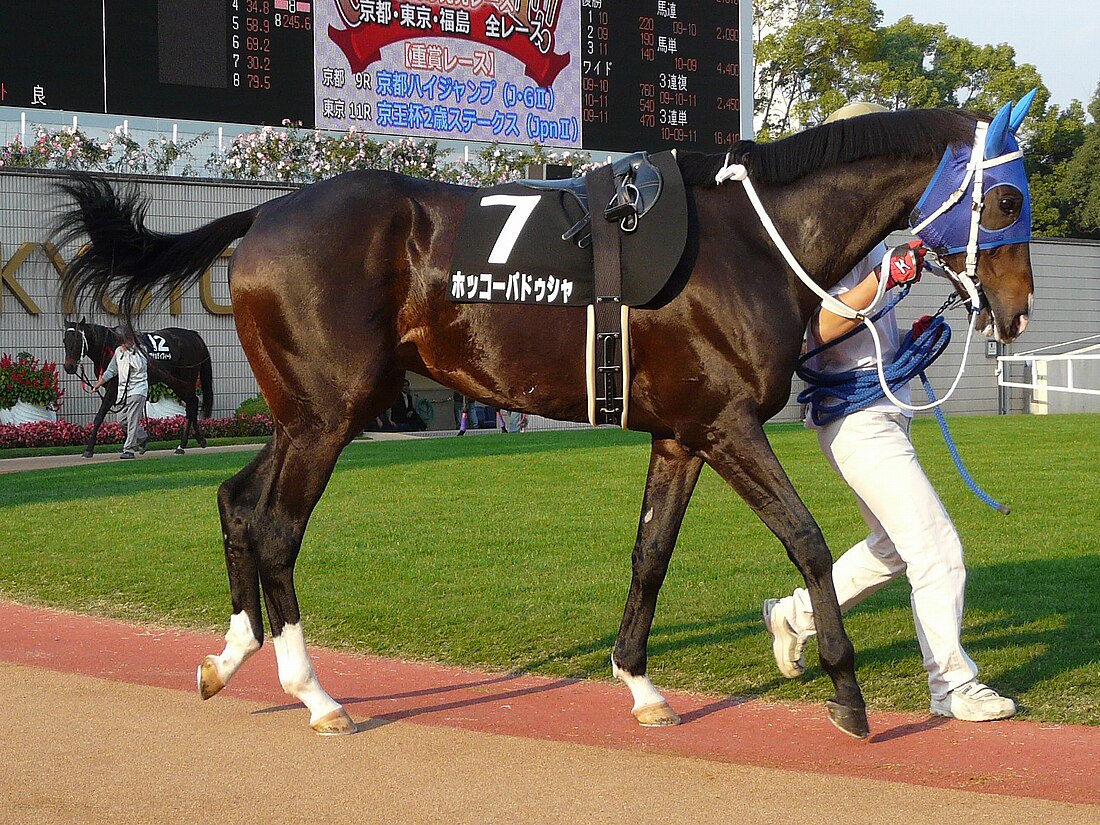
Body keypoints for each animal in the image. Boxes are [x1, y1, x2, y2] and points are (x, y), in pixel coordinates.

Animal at [62, 319, 214, 459]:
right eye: (64, 340)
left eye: (77, 339)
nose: (69, 367)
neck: (108, 347)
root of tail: (193, 335)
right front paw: (137, 443)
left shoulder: (113, 389)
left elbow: (100, 416)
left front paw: (89, 449)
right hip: (173, 381)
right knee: (192, 402)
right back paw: (197, 440)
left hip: (186, 379)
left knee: (192, 403)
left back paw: (182, 445)